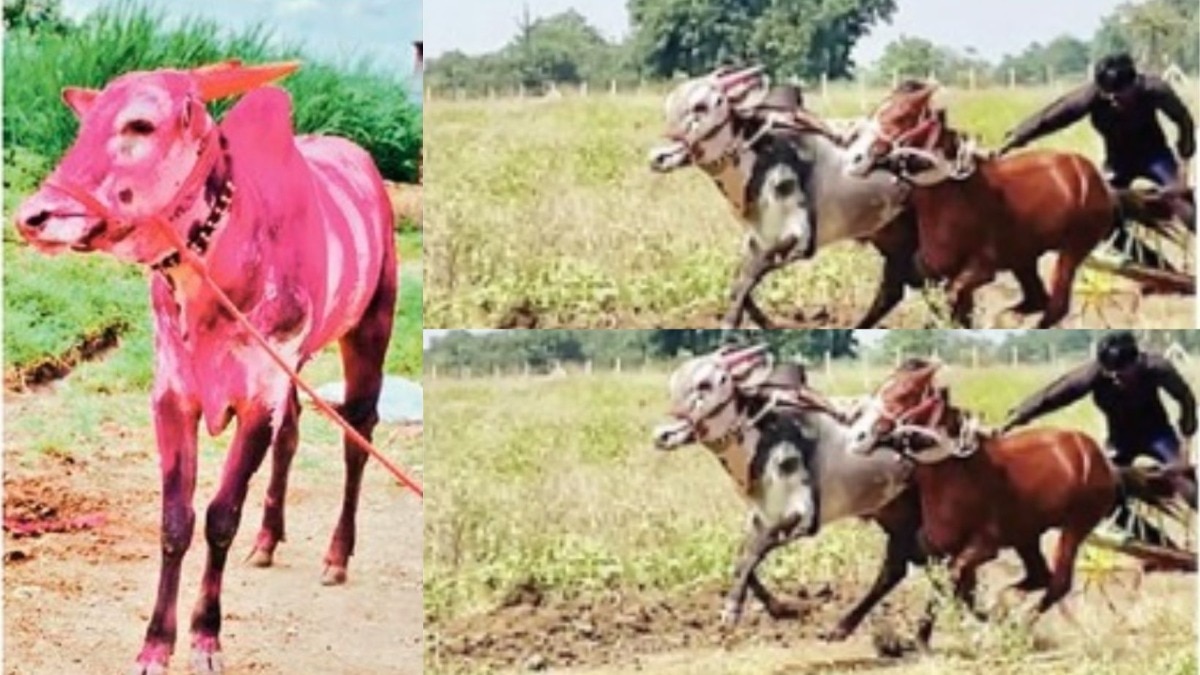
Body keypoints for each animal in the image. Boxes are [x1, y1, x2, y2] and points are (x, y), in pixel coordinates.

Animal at [13, 60, 398, 674]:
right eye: (83, 125)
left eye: (140, 124)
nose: (33, 217)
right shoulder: (174, 397)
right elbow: (176, 521)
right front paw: (155, 643)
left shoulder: (258, 398)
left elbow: (221, 517)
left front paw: (205, 636)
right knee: (292, 436)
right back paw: (267, 540)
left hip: (369, 330)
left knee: (357, 436)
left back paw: (337, 555)